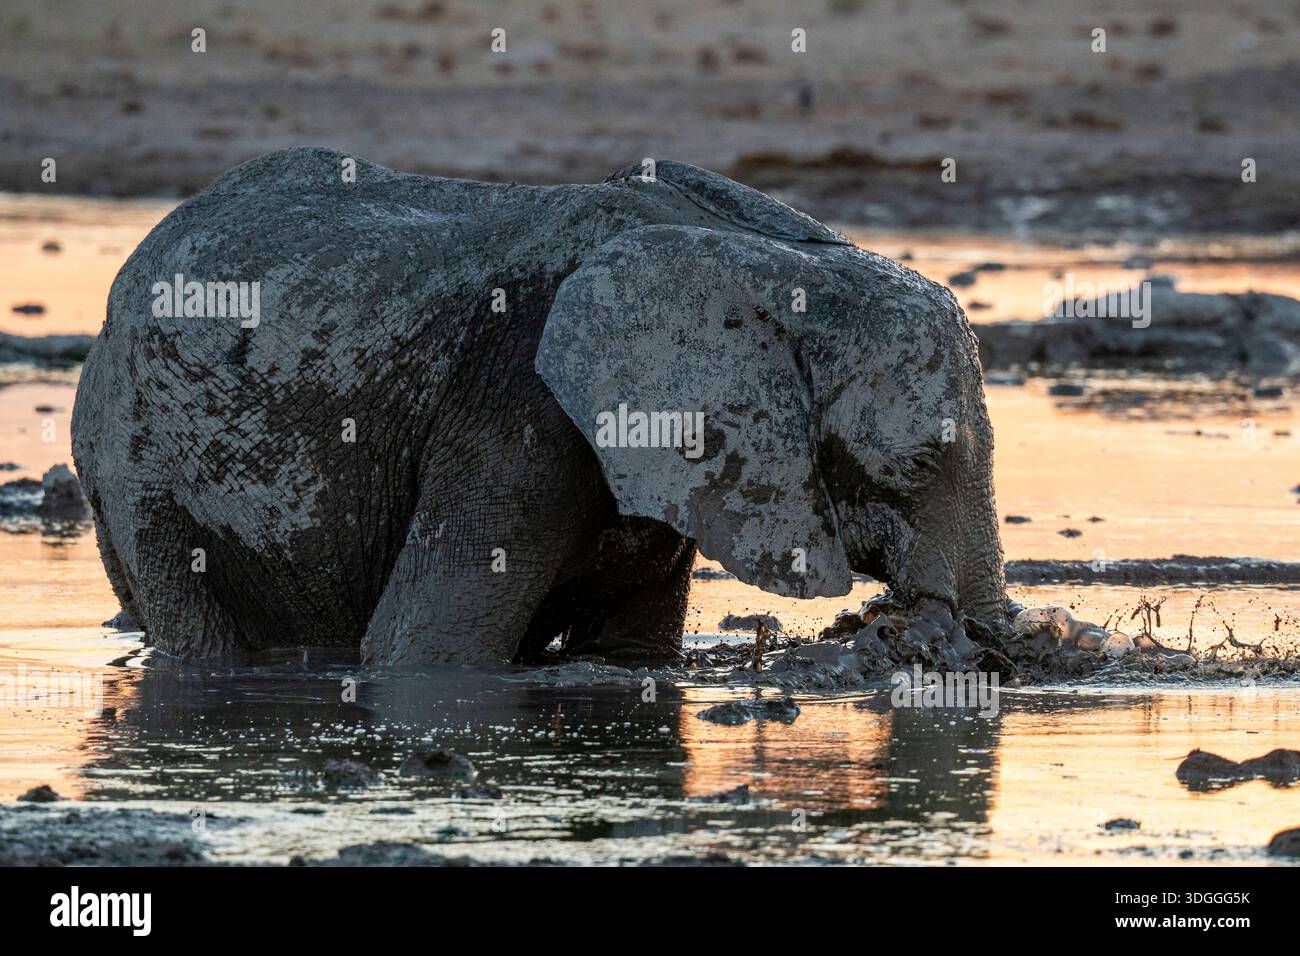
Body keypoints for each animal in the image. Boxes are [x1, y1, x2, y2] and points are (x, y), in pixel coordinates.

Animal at [71, 147, 1011, 667]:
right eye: (917, 461)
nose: (979, 644)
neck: (778, 261)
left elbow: (634, 652)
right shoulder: (512, 402)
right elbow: (426, 651)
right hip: (134, 459)